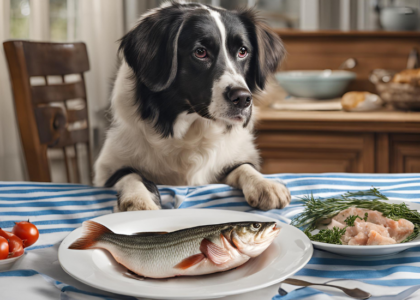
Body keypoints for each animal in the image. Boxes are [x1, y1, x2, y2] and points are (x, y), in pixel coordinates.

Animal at [93, 0, 290, 211]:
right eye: (200, 52)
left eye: (242, 51)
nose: (244, 99)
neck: (190, 130)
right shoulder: (106, 168)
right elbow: (130, 174)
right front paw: (138, 200)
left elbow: (243, 166)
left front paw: (265, 184)